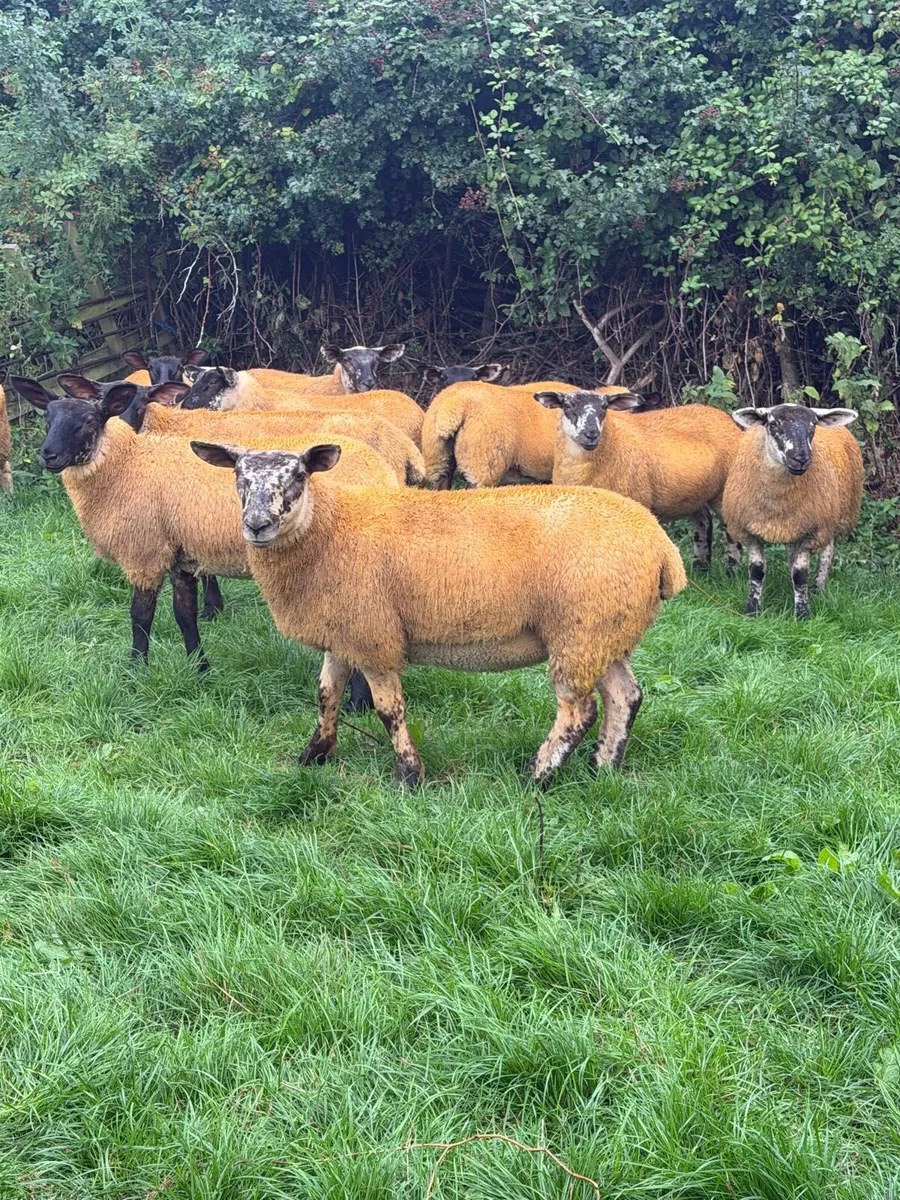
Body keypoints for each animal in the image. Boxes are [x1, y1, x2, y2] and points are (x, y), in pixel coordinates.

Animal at [12, 379, 396, 684]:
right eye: (48, 418)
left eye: (90, 421)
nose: (49, 455)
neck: (127, 465)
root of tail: (384, 469)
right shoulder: (181, 556)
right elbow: (185, 616)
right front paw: (200, 669)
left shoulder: (144, 553)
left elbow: (140, 617)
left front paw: (136, 671)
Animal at [192, 439, 687, 787]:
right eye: (238, 476)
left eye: (297, 476)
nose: (257, 525)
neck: (329, 529)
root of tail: (663, 549)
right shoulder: (343, 631)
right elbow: (326, 695)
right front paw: (313, 757)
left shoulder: (374, 636)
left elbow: (388, 710)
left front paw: (409, 776)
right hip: (606, 631)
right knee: (625, 697)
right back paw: (603, 768)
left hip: (581, 630)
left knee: (578, 710)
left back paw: (537, 776)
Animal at [535, 388, 744, 570]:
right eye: (567, 405)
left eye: (604, 407)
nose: (591, 434)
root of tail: (720, 415)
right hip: (692, 494)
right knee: (704, 521)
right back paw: (702, 567)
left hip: (724, 490)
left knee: (730, 529)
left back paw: (732, 571)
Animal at [722, 404, 863, 619]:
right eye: (772, 424)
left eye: (813, 425)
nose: (801, 459)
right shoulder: (748, 531)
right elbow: (757, 571)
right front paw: (752, 610)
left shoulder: (813, 532)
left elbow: (801, 574)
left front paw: (803, 613)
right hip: (796, 524)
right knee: (792, 554)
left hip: (836, 518)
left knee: (827, 555)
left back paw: (817, 589)